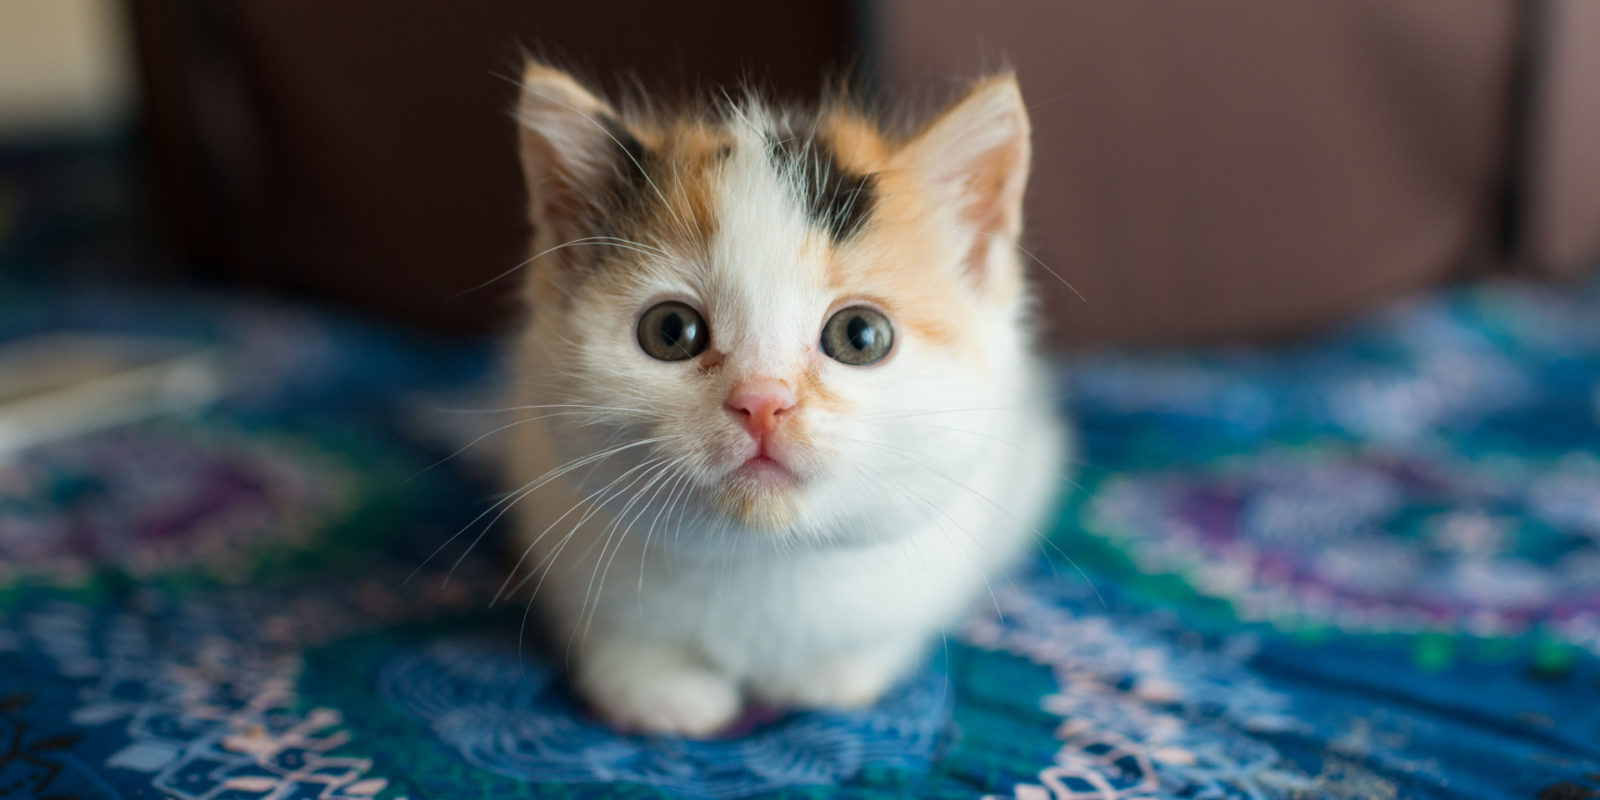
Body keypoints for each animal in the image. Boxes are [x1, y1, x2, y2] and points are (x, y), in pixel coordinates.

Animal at [505, 62, 1068, 736]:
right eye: (670, 331)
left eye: (860, 335)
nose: (762, 402)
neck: (762, 561)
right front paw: (659, 693)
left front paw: (825, 676)